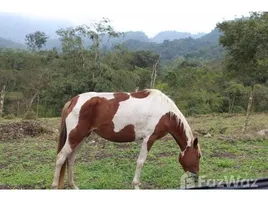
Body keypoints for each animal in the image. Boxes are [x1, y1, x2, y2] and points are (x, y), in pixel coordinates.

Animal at [50, 89, 201, 189]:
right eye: (198, 156)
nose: (196, 177)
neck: (166, 113)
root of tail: (73, 100)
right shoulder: (149, 138)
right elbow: (140, 162)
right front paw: (136, 185)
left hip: (81, 137)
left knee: (71, 158)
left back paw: (73, 185)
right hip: (75, 136)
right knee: (61, 157)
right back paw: (54, 185)